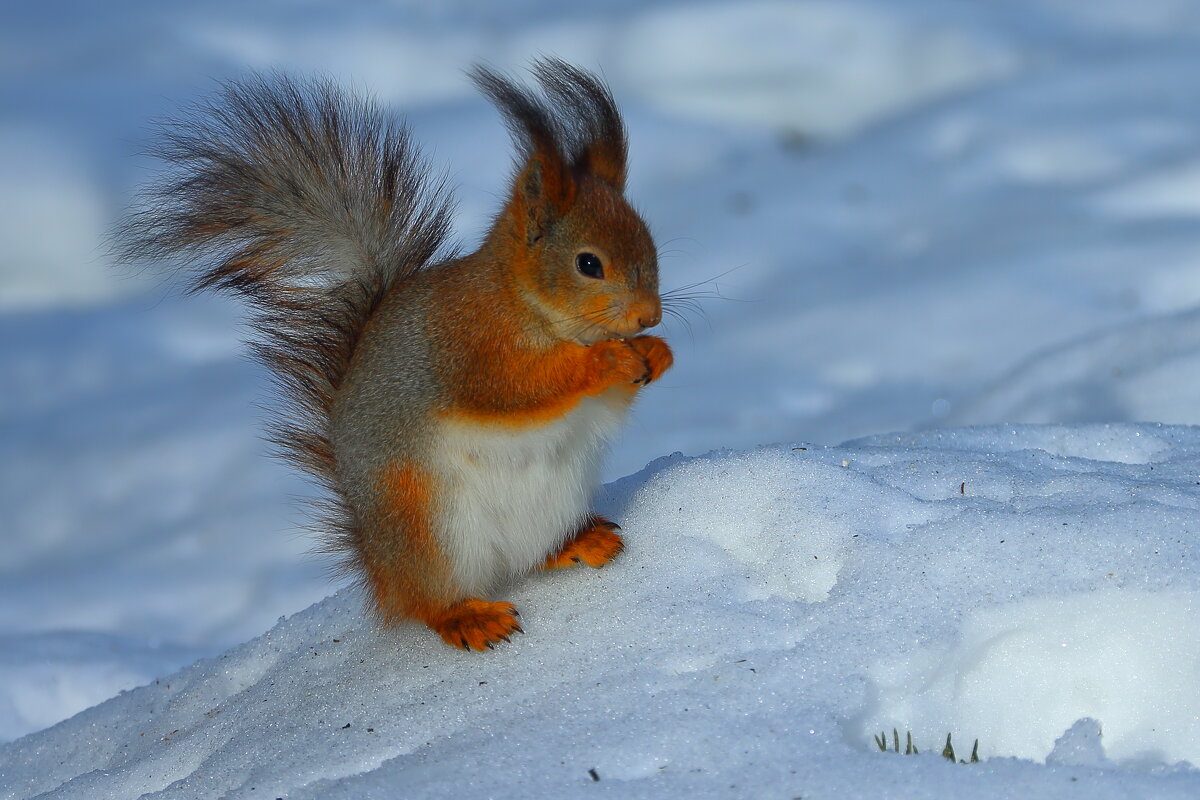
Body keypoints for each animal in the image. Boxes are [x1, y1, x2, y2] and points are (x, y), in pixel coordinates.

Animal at [121, 61, 676, 652]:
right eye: (588, 264)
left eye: (649, 242)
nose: (649, 316)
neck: (526, 305)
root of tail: (378, 566)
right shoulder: (469, 347)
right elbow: (516, 387)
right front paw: (605, 362)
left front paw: (655, 353)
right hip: (428, 524)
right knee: (427, 602)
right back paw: (468, 617)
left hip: (551, 503)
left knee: (530, 557)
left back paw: (578, 544)